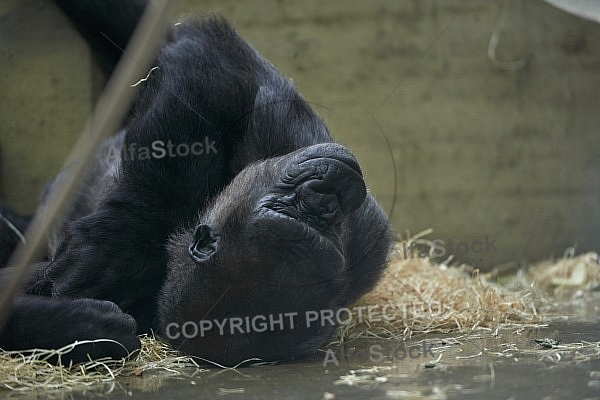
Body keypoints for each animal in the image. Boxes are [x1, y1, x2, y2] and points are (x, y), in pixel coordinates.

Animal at [0, 0, 394, 366]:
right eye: (292, 209)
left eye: (325, 226)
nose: (327, 200)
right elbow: (205, 75)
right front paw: (122, 243)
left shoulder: (363, 238)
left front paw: (79, 321)